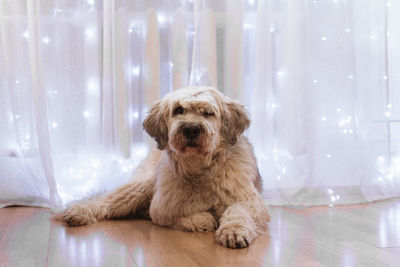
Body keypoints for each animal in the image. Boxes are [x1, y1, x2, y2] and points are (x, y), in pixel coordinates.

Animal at [65, 87, 272, 250]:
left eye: (207, 113)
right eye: (178, 109)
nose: (191, 129)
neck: (200, 170)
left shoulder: (248, 199)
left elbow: (238, 211)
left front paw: (233, 231)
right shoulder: (163, 207)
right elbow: (188, 215)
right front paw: (205, 219)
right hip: (141, 185)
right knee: (106, 200)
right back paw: (79, 212)